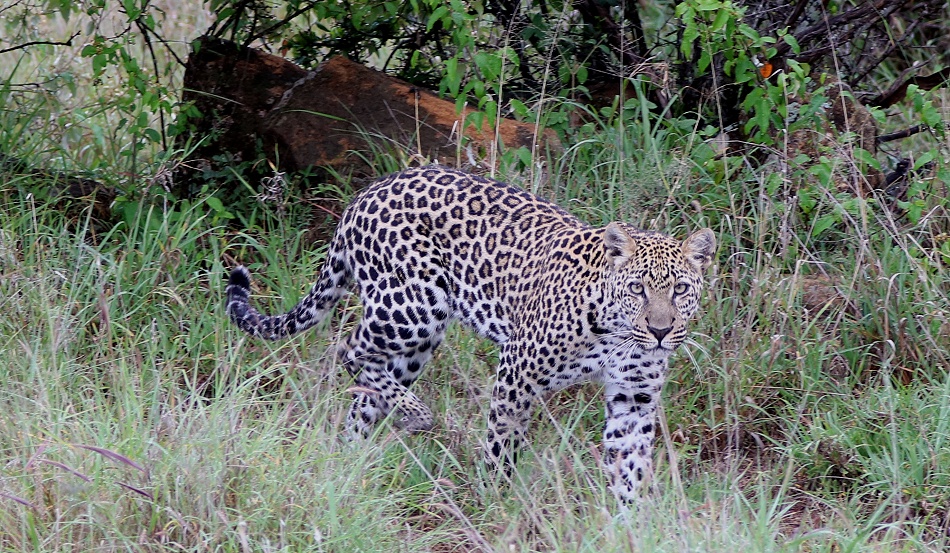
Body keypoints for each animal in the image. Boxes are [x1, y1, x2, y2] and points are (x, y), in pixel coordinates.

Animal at [225, 165, 716, 503]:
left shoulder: (634, 397)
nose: (660, 331)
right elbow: (503, 442)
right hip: (413, 307)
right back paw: (415, 414)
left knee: (365, 392)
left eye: (680, 289)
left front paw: (628, 523)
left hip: (416, 340)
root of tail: (363, 195)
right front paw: (492, 498)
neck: (616, 332)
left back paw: (352, 457)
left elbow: (630, 467)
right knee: (349, 350)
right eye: (637, 289)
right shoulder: (517, 370)